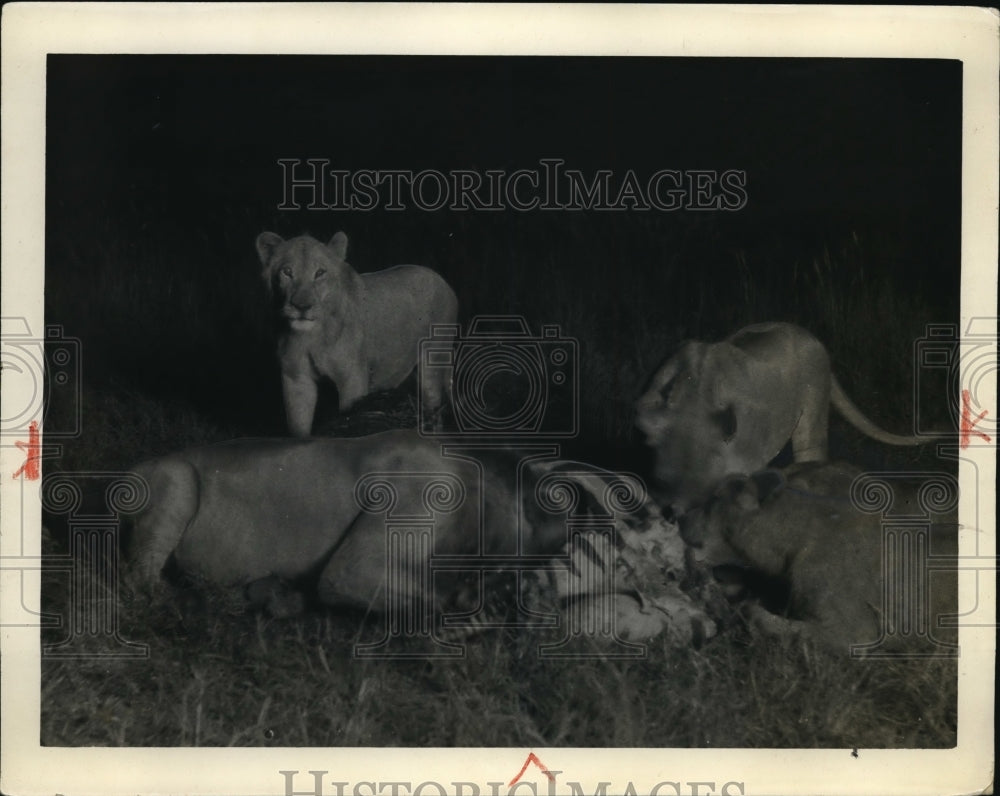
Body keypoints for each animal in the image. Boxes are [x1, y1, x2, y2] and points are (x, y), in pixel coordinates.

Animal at [125, 431, 716, 646]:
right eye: (668, 568)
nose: (711, 623)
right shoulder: (354, 570)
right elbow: (437, 605)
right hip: (174, 485)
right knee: (142, 584)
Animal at [255, 231, 458, 436]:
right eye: (287, 272)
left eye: (320, 273)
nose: (302, 306)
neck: (312, 337)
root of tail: (442, 280)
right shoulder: (296, 379)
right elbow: (299, 428)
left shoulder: (352, 380)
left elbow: (351, 418)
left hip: (433, 363)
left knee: (434, 407)